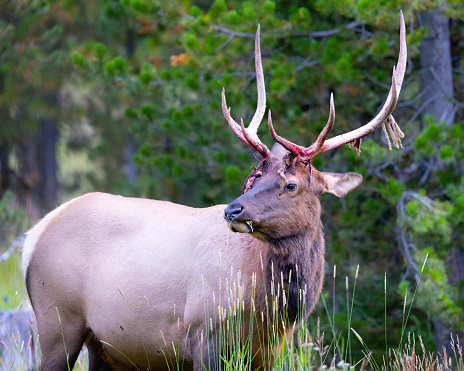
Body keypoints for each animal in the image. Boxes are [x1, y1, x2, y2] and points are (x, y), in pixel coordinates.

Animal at [22, 11, 406, 371]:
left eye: (290, 184)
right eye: (254, 177)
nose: (233, 210)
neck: (269, 312)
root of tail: (33, 236)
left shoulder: (268, 353)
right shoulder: (203, 337)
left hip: (103, 346)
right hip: (58, 322)